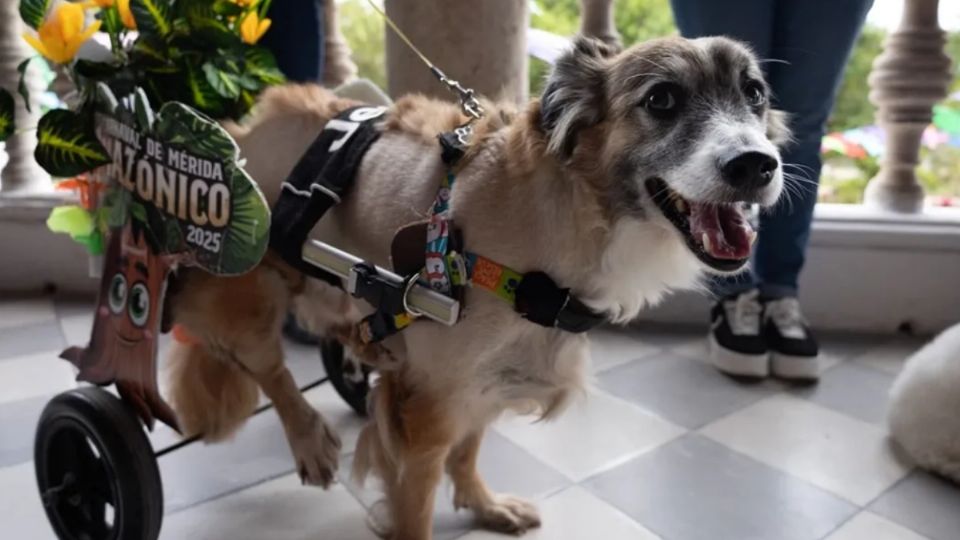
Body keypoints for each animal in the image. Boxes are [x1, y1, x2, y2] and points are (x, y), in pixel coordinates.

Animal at [165, 35, 792, 536]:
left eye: (755, 93)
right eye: (661, 99)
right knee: (267, 369)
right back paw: (310, 440)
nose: (756, 164)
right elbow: (416, 506)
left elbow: (468, 451)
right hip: (248, 292)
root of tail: (239, 128)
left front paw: (484, 506)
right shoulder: (429, 405)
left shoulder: (488, 381)